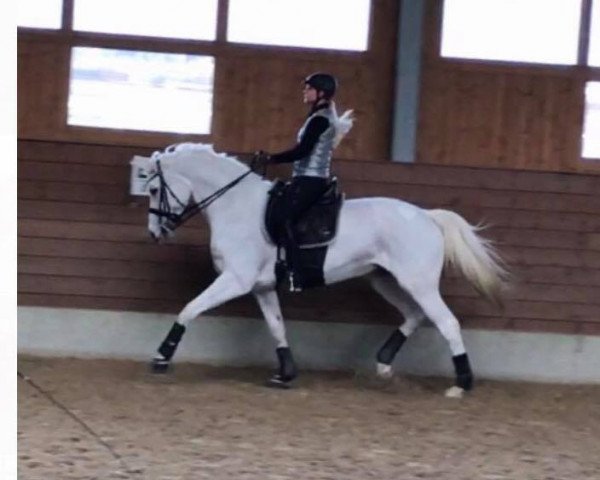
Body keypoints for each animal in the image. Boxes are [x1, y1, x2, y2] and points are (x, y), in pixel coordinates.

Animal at [143, 142, 508, 398]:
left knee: (447, 323)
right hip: (386, 281)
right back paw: (384, 367)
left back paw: (461, 384)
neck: (236, 207)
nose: (156, 233)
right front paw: (285, 374)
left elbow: (190, 308)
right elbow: (277, 327)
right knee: (415, 316)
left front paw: (161, 358)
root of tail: (427, 217)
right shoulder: (262, 287)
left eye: (154, 189)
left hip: (418, 284)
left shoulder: (236, 279)